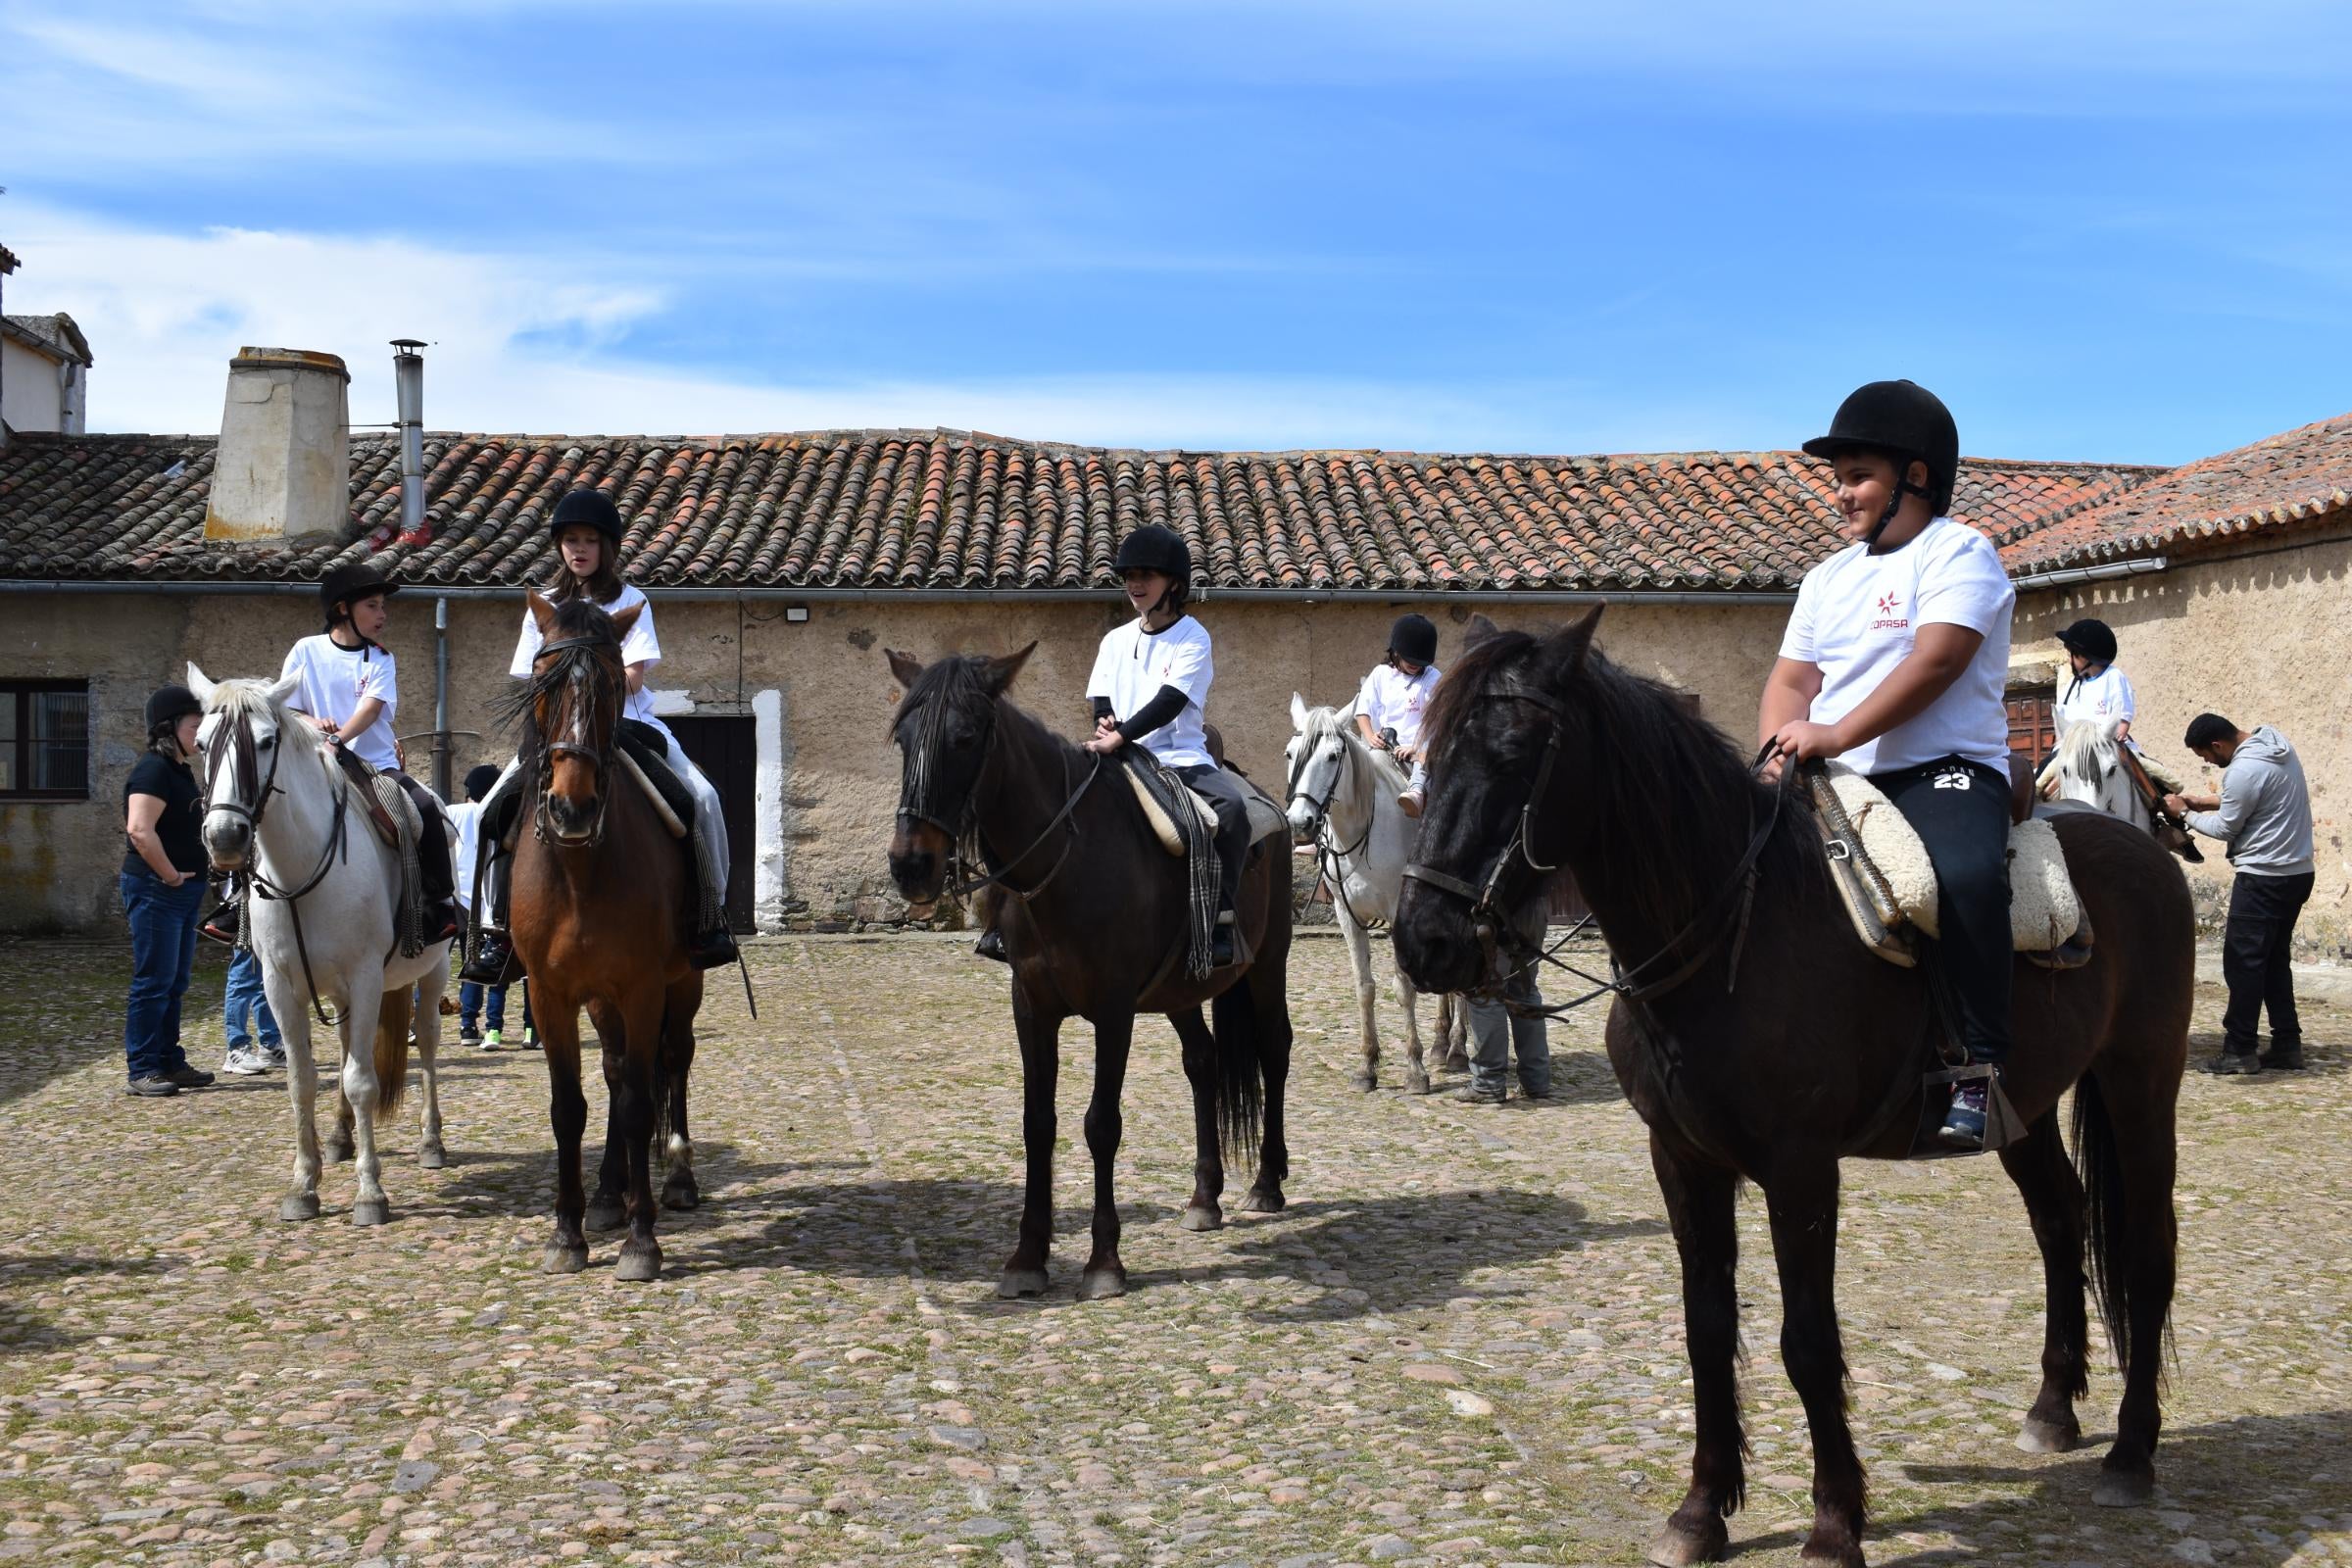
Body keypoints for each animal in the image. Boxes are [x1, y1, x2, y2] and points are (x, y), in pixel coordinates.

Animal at [190, 662, 451, 1222]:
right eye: (201, 743)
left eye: (266, 741)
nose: (225, 838)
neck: (302, 870)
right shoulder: (279, 985)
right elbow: (303, 1079)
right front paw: (304, 1185)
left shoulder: (366, 977)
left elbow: (361, 1080)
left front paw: (370, 1193)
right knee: (349, 1047)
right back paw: (338, 1139)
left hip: (432, 973)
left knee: (426, 1044)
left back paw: (431, 1143)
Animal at [508, 594, 706, 1278]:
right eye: (542, 681)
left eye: (617, 683)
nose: (573, 809)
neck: (579, 872)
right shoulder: (550, 994)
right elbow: (570, 1108)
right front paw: (567, 1233)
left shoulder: (644, 987)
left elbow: (645, 1102)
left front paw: (642, 1243)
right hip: (599, 998)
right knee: (618, 1071)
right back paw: (606, 1197)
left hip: (684, 982)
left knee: (672, 1061)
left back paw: (675, 1181)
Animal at [884, 644, 1298, 1306]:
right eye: (903, 738)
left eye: (965, 738)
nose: (911, 866)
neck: (1067, 860)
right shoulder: (1031, 1006)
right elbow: (1037, 1124)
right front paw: (1027, 1258)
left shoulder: (1113, 1008)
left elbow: (1101, 1125)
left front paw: (1104, 1262)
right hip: (1179, 990)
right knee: (1203, 1061)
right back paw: (1205, 1197)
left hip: (1267, 963)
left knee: (1274, 1050)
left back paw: (1266, 1184)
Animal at [1279, 696, 1458, 1091]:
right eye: (1289, 754)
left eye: (1333, 756)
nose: (1300, 822)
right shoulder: (1347, 916)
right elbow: (1364, 987)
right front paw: (1366, 1066)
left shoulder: (1396, 915)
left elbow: (1403, 987)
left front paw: (1414, 1070)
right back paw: (1442, 1045)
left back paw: (1457, 1050)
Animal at [1392, 606, 2182, 1560]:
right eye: (1430, 756)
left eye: (1513, 755)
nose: (1424, 941)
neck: (1728, 932)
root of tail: (2143, 853)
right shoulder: (1683, 1161)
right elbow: (1706, 1329)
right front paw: (1701, 1511)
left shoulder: (1801, 1170)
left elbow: (1807, 1340)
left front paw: (1836, 1520)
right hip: (2019, 1111)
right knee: (2061, 1221)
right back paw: (2053, 1412)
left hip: (2142, 1082)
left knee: (2147, 1249)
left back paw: (2133, 1453)